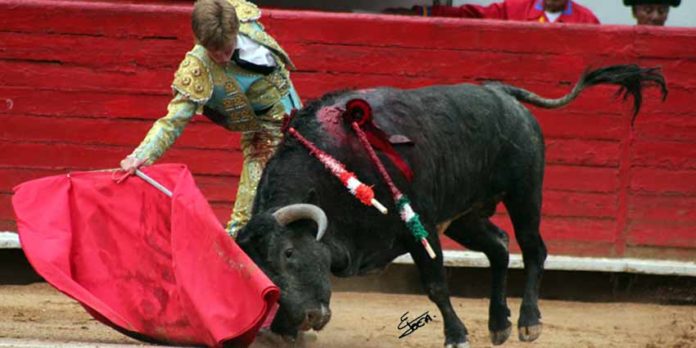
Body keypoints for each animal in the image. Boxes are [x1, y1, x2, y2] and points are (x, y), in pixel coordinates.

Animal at [237, 64, 668, 346]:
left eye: (289, 252)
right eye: (260, 268)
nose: (308, 318)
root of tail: (501, 93)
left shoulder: (420, 226)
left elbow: (436, 285)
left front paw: (457, 336)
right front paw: (282, 331)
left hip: (525, 193)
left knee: (533, 249)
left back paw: (528, 322)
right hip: (466, 215)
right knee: (498, 247)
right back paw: (498, 324)